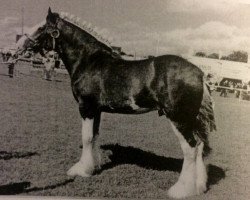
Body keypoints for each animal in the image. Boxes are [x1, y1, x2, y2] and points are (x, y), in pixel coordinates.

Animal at [17, 8, 217, 198]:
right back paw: (199, 187)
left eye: (41, 28)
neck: (89, 60)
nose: (19, 45)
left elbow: (86, 137)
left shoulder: (86, 107)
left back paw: (181, 190)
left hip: (178, 118)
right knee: (200, 146)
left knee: (190, 149)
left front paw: (80, 170)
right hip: (191, 120)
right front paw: (94, 166)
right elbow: (95, 136)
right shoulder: (96, 110)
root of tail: (199, 73)